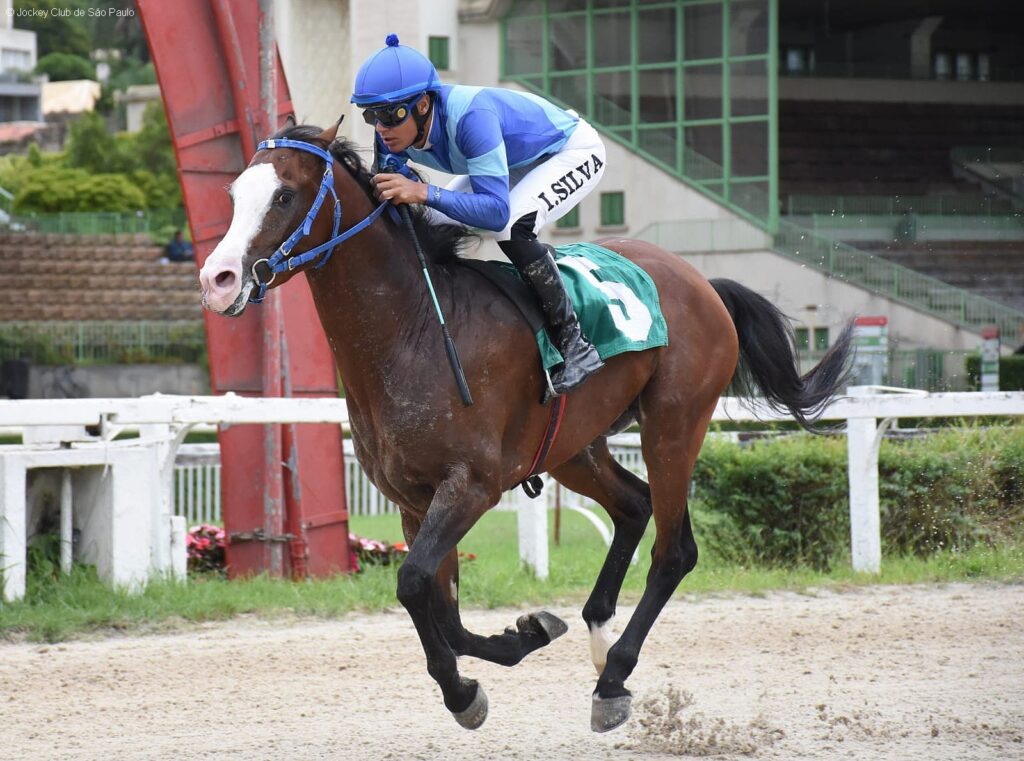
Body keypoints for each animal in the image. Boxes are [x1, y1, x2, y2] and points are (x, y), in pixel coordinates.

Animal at [198, 119, 853, 733]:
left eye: (284, 195)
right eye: (232, 194)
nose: (218, 279)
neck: (412, 331)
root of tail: (701, 282)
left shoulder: (473, 485)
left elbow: (412, 583)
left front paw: (470, 687)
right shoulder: (414, 500)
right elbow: (441, 607)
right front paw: (516, 644)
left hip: (674, 423)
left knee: (674, 550)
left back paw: (613, 677)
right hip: (574, 445)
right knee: (633, 505)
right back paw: (598, 636)